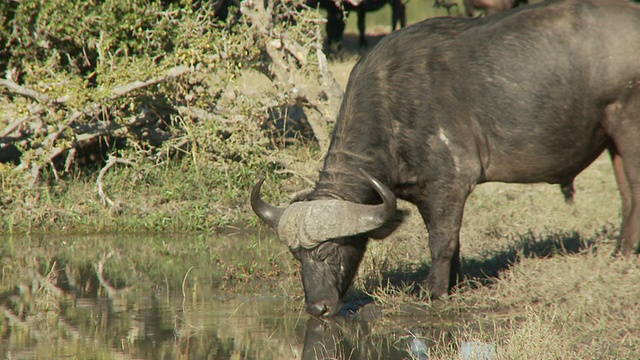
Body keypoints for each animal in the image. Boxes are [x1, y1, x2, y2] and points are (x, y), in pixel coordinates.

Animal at [250, 0, 640, 318]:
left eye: (329, 252)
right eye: (297, 256)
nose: (317, 308)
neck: (393, 106)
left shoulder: (450, 183)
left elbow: (440, 241)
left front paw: (432, 291)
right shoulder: (427, 192)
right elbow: (451, 239)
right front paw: (454, 283)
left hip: (627, 124)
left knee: (634, 190)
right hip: (612, 139)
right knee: (625, 193)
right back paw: (620, 252)